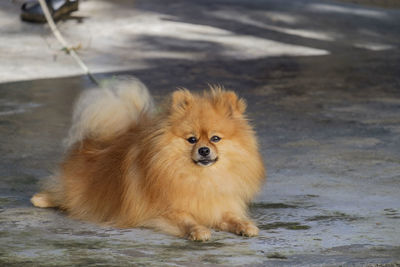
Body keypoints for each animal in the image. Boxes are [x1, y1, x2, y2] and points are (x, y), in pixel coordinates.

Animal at [32, 78, 266, 242]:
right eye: (191, 139)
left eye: (215, 138)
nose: (204, 150)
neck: (200, 177)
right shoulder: (164, 210)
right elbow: (187, 220)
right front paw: (198, 230)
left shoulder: (220, 205)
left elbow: (233, 217)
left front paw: (245, 226)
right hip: (77, 190)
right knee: (62, 193)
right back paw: (40, 199)